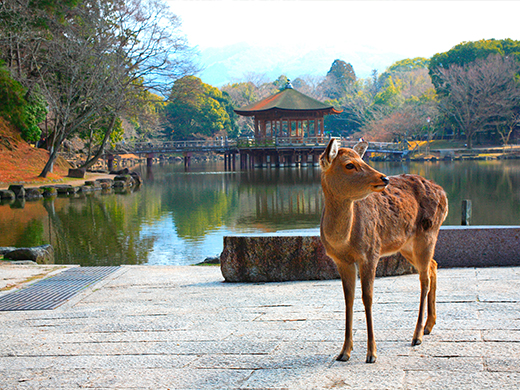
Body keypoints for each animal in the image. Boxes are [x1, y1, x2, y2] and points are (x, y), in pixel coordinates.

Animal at [320, 139, 446, 364]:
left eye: (363, 160)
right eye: (349, 164)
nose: (384, 178)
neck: (344, 241)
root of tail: (443, 193)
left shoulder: (370, 253)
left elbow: (367, 297)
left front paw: (371, 353)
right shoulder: (341, 261)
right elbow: (348, 298)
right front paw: (344, 352)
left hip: (428, 234)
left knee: (424, 279)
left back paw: (417, 335)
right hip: (407, 245)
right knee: (433, 265)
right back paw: (429, 326)